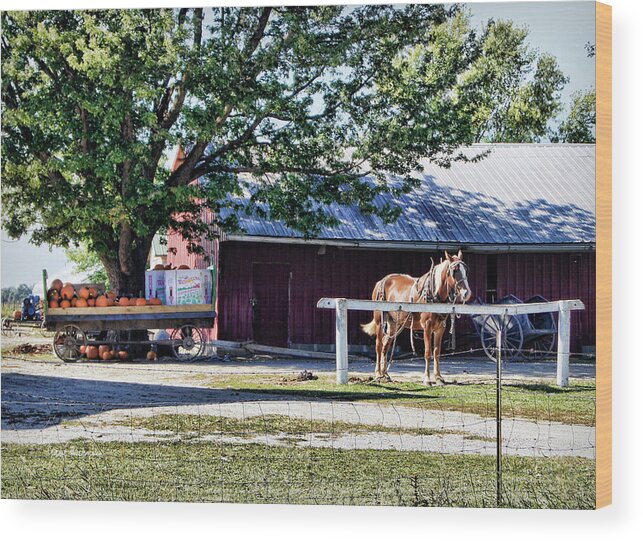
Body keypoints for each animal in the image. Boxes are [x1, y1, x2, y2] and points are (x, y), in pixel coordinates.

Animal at [362, 249, 472, 384]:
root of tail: (380, 282)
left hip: (393, 323)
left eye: (466, 270)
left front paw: (439, 377)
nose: (467, 293)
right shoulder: (427, 326)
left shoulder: (440, 328)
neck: (433, 293)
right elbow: (428, 352)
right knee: (378, 345)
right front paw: (427, 379)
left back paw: (385, 374)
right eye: (455, 270)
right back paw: (378, 373)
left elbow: (437, 352)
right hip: (379, 320)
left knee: (385, 345)